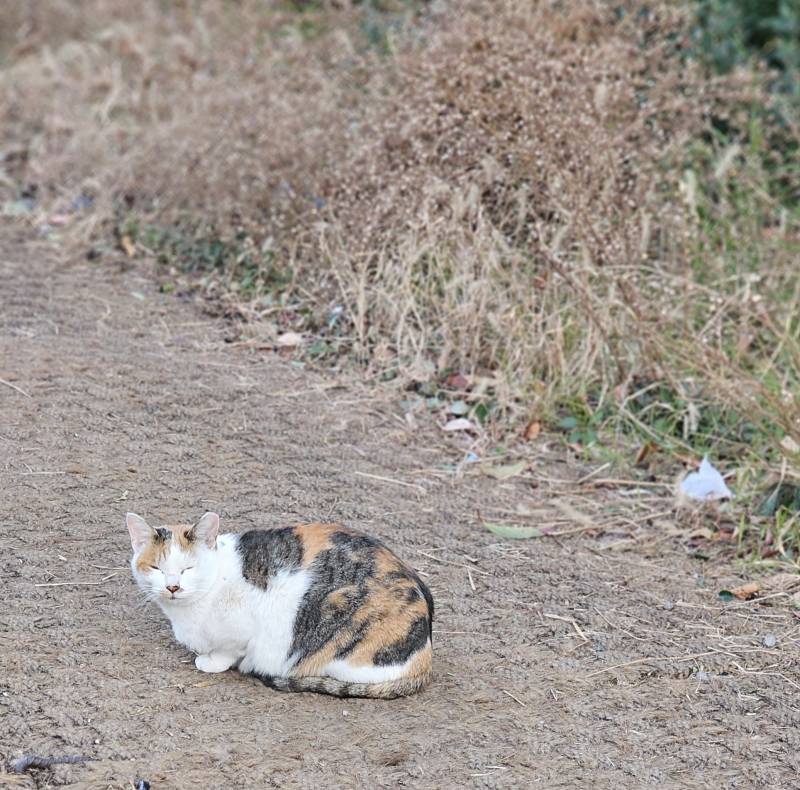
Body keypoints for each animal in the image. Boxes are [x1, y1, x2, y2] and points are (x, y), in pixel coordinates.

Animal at [126, 512, 434, 700]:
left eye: (188, 568)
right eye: (156, 568)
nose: (173, 587)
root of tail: (425, 655)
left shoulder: (244, 630)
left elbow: (229, 651)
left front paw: (210, 661)